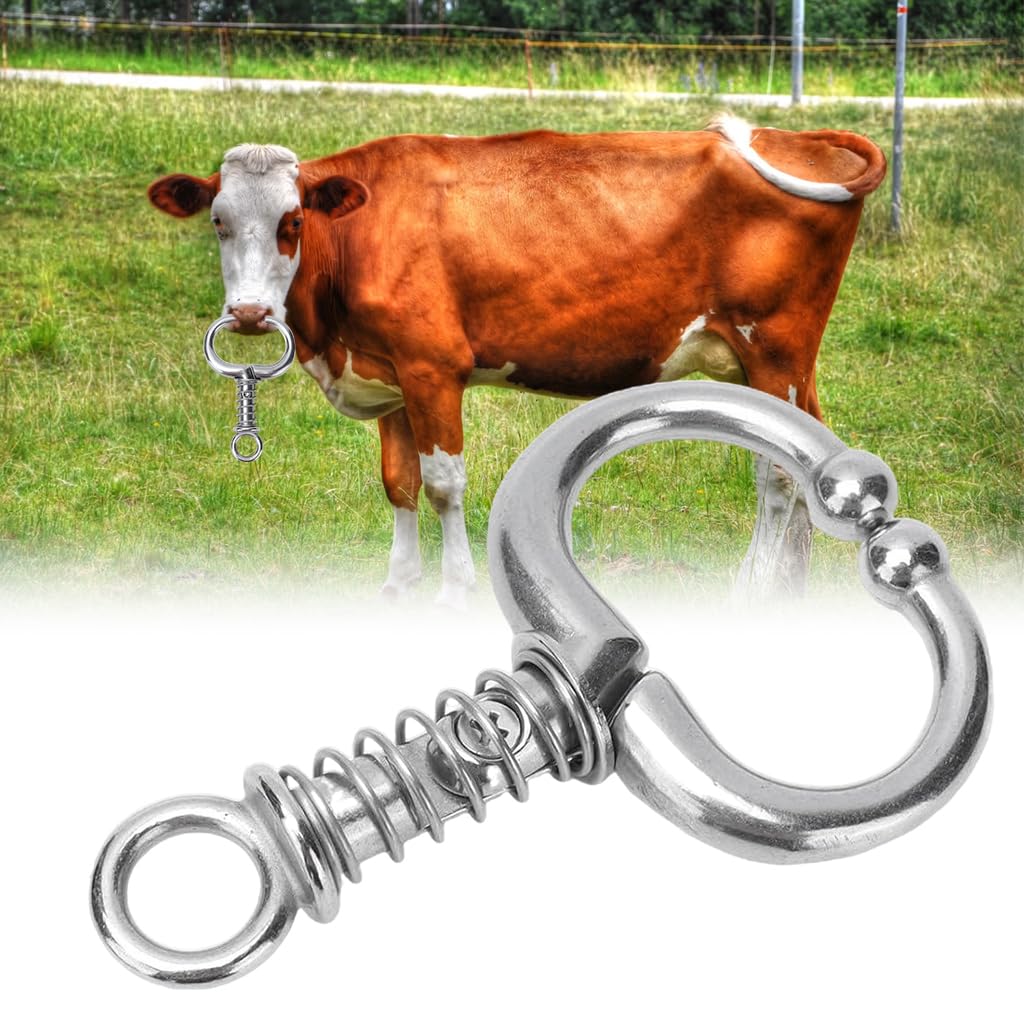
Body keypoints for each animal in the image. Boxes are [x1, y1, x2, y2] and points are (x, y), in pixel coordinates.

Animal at [148, 114, 886, 606]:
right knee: (807, 456)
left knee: (777, 476)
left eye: (293, 221)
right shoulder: (388, 372)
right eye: (217, 220)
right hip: (778, 362)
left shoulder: (432, 367)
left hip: (775, 346)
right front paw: (398, 584)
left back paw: (754, 588)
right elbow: (398, 483)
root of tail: (800, 137)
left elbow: (443, 484)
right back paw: (790, 589)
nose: (249, 314)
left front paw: (455, 591)